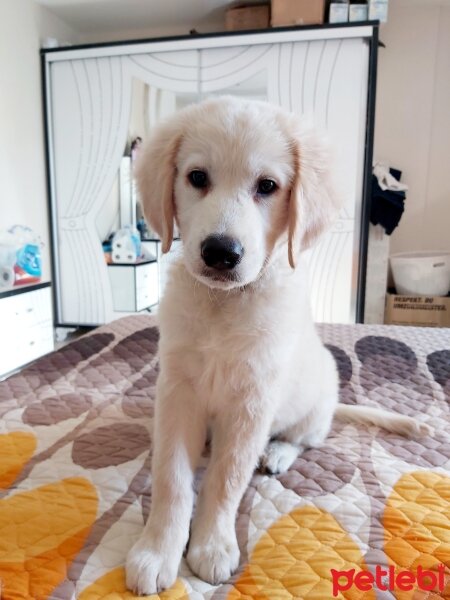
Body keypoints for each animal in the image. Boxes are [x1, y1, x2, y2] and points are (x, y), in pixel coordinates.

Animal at [125, 96, 428, 592]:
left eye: (267, 186)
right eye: (197, 178)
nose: (220, 252)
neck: (224, 305)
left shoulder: (252, 401)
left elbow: (227, 478)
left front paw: (212, 544)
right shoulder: (176, 391)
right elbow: (171, 476)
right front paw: (157, 550)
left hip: (314, 403)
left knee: (306, 438)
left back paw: (279, 452)